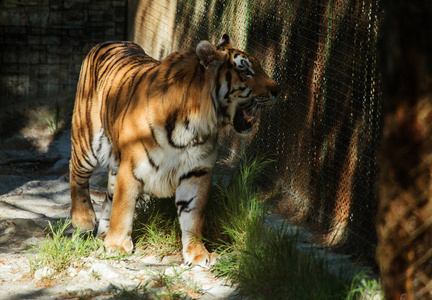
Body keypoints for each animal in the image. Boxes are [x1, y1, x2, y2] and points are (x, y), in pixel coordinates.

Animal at [70, 34, 280, 266]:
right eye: (246, 71)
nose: (278, 89)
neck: (194, 124)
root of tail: (110, 41)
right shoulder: (131, 167)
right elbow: (123, 207)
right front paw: (117, 245)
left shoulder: (196, 172)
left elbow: (194, 214)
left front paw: (198, 253)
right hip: (86, 140)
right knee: (76, 174)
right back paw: (83, 219)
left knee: (109, 196)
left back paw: (102, 235)